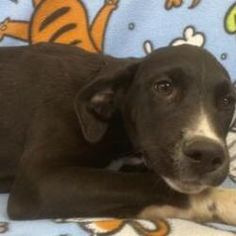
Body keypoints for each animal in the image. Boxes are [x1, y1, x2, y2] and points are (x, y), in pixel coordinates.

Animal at [0, 43, 235, 224]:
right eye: (164, 87)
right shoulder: (38, 181)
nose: (207, 155)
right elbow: (145, 185)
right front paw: (226, 200)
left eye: (227, 101)